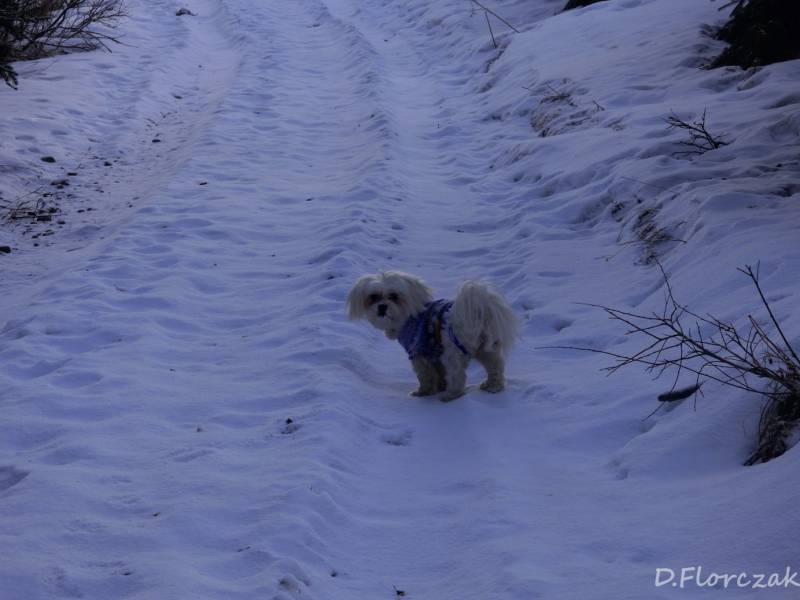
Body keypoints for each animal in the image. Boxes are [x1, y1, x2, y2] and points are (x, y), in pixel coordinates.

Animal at [347, 271, 519, 401]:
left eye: (394, 296)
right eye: (373, 297)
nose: (382, 307)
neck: (408, 317)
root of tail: (477, 314)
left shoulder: (417, 351)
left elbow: (425, 375)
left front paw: (423, 392)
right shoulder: (434, 352)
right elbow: (439, 372)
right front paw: (440, 386)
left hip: (452, 352)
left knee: (458, 375)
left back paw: (451, 395)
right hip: (486, 348)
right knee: (495, 366)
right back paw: (493, 386)